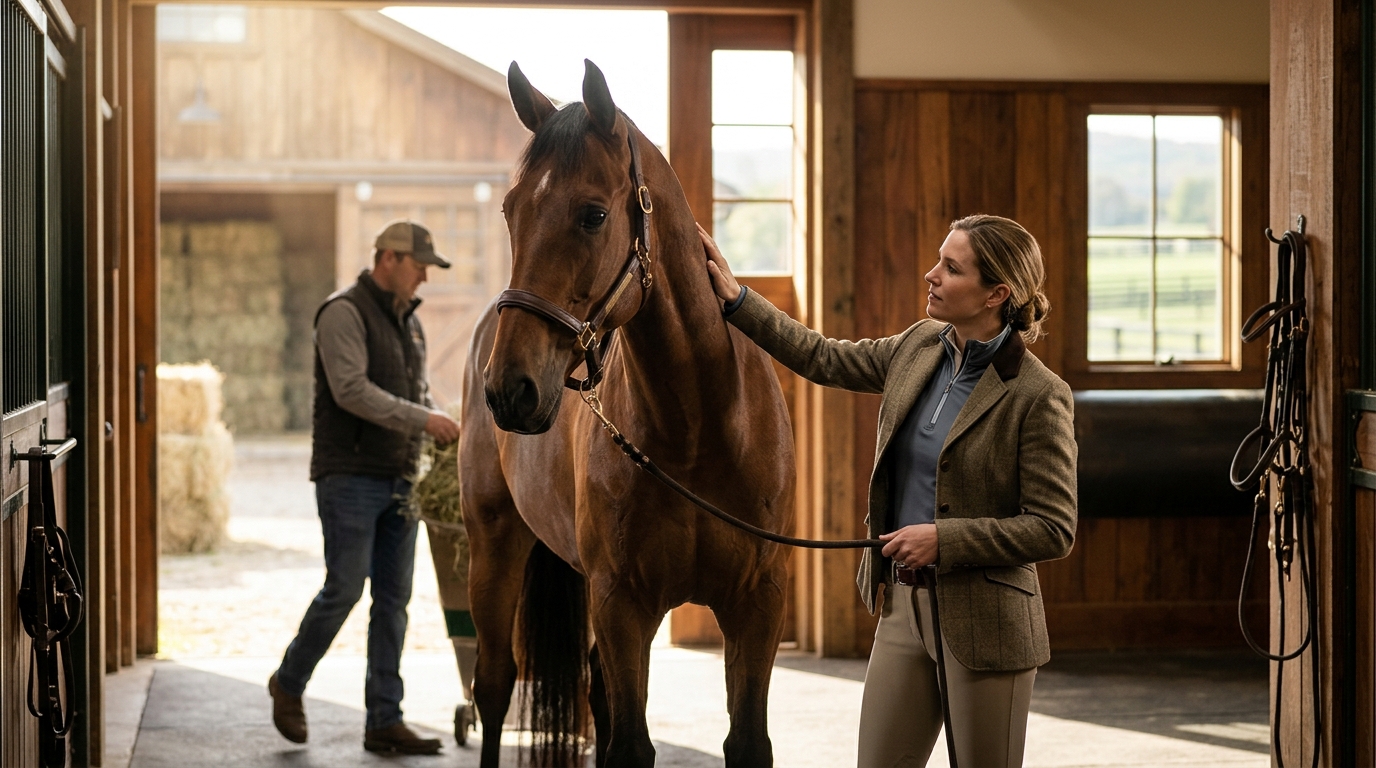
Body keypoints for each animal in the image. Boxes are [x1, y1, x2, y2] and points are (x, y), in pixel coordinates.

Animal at [459, 59, 796, 767]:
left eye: (593, 215)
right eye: (510, 210)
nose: (509, 389)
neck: (697, 429)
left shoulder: (757, 605)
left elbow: (745, 740)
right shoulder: (623, 604)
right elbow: (630, 746)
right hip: (494, 546)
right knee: (495, 686)